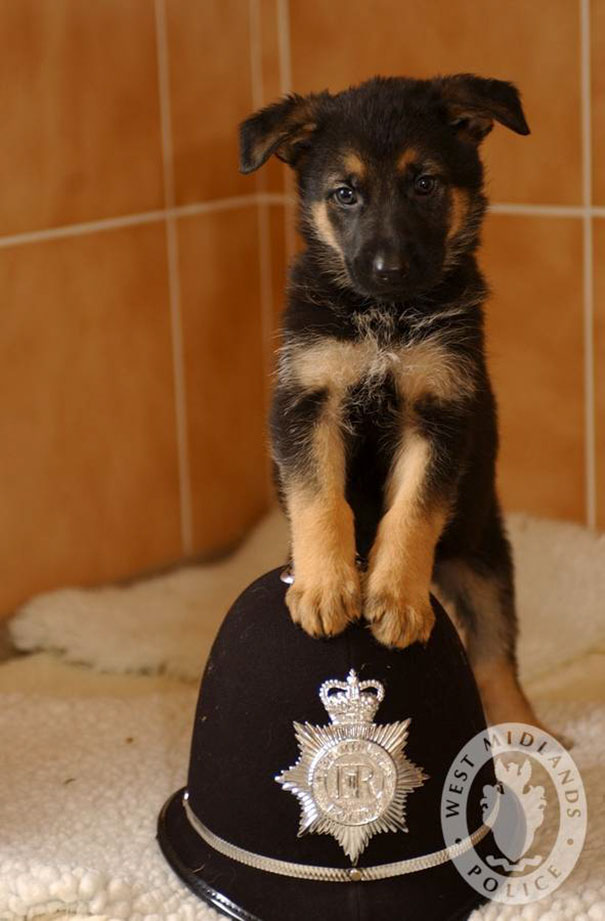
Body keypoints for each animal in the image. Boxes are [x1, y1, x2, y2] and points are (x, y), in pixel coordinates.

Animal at [239, 73, 536, 724]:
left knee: (495, 652)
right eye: (345, 193)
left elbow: (414, 511)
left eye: (424, 184)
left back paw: (523, 726)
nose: (389, 267)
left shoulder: (442, 415)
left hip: (480, 551)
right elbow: (321, 500)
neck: (386, 318)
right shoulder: (308, 400)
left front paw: (397, 597)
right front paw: (325, 586)